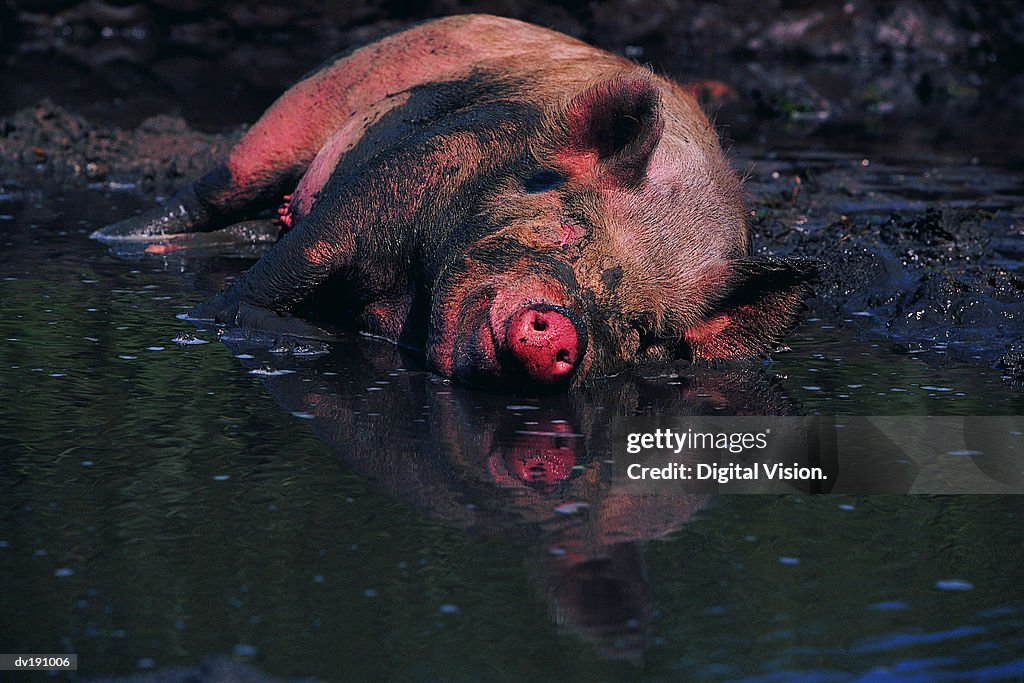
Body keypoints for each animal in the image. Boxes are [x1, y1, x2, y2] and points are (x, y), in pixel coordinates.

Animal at [92, 14, 817, 389]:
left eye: (641, 327)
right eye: (569, 229)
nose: (563, 327)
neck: (404, 307)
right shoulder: (401, 179)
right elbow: (265, 281)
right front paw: (310, 342)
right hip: (300, 108)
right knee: (215, 189)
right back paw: (117, 238)